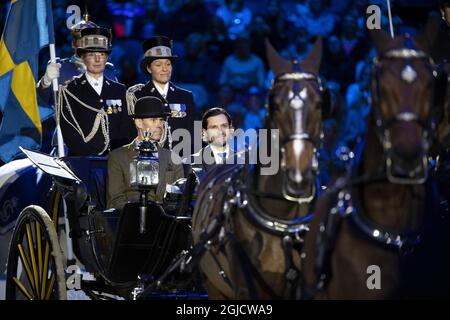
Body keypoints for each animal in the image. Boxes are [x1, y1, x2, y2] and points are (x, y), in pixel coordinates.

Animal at [190, 38, 330, 300]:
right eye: (274, 104)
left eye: (321, 104)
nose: (299, 174)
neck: (284, 223)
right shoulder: (247, 288)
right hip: (212, 284)